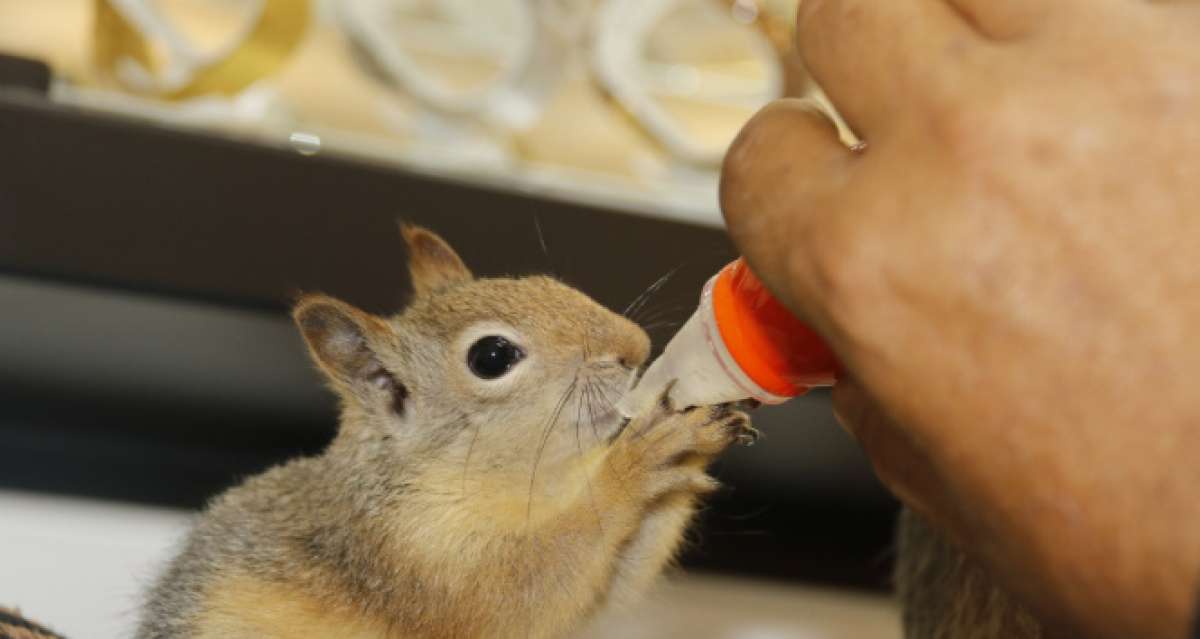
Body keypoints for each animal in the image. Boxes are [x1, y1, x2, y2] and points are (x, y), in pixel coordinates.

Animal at [136, 225, 753, 639]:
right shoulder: (409, 557)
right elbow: (523, 589)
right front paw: (645, 457)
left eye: (547, 280)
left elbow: (607, 586)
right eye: (491, 356)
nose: (636, 347)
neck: (537, 480)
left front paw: (700, 428)